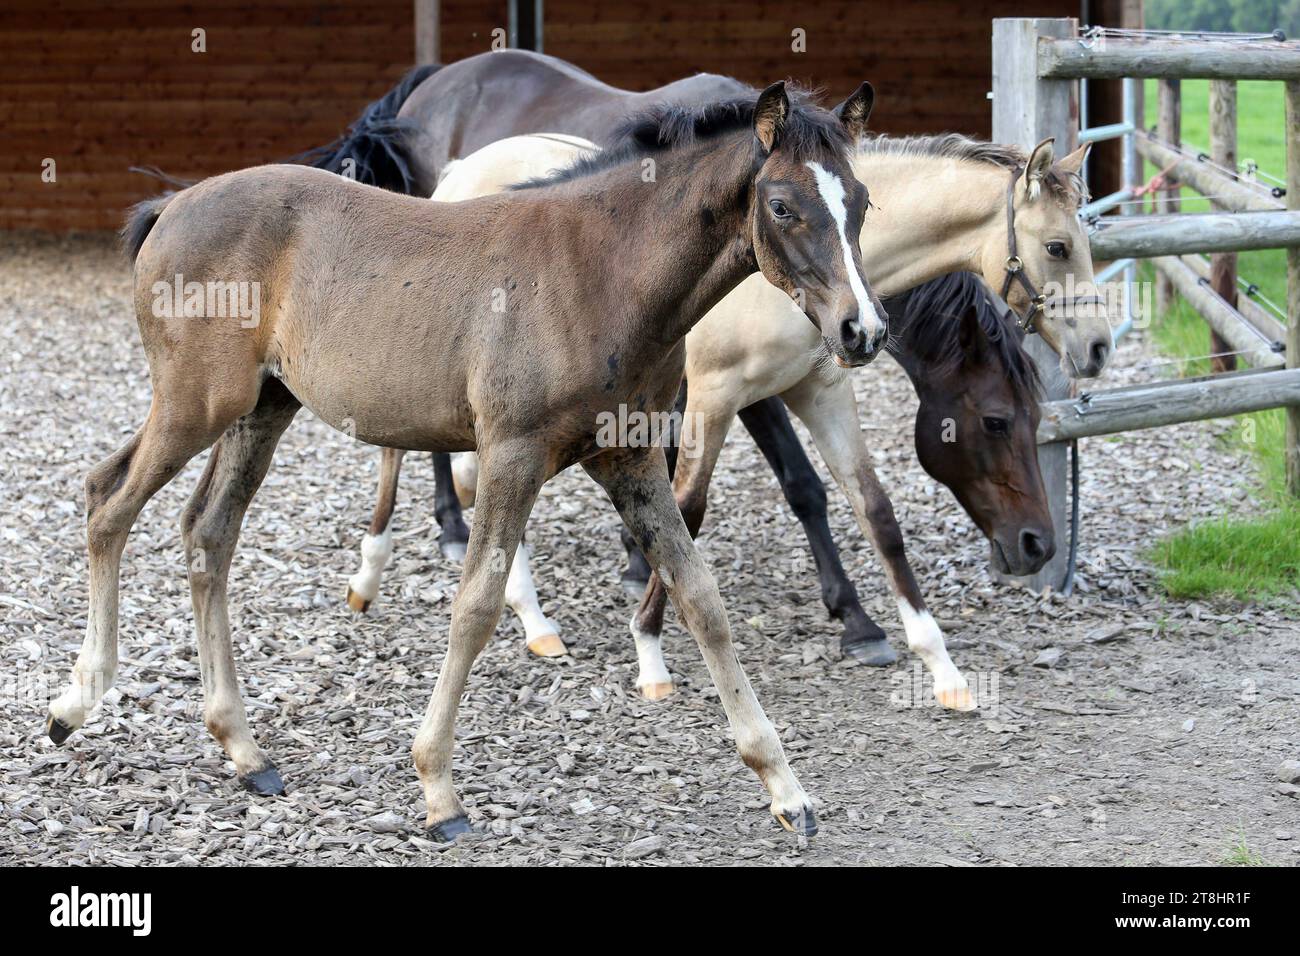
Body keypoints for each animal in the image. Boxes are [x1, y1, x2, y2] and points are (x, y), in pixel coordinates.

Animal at [48, 82, 882, 841]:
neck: (601, 271)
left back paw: (244, 749)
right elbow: (476, 605)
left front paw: (786, 789)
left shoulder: (631, 459)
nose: (863, 330)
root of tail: (172, 207)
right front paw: (438, 790)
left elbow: (700, 598)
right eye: (783, 206)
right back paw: (75, 703)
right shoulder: (513, 454)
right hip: (199, 403)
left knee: (207, 531)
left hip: (261, 407)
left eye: (863, 203)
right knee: (108, 501)